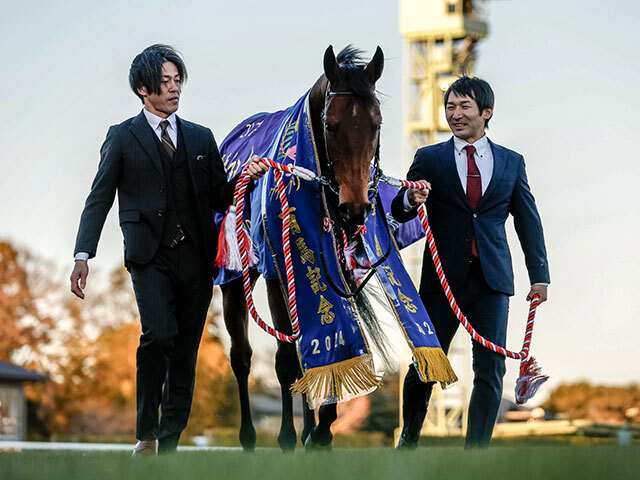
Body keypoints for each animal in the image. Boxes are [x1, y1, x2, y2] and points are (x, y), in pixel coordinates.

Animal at [219, 45, 385, 452]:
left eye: (375, 125)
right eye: (331, 125)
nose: (355, 209)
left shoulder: (337, 271)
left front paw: (321, 429)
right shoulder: (277, 273)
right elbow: (285, 362)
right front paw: (287, 437)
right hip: (233, 275)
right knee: (241, 356)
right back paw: (249, 437)